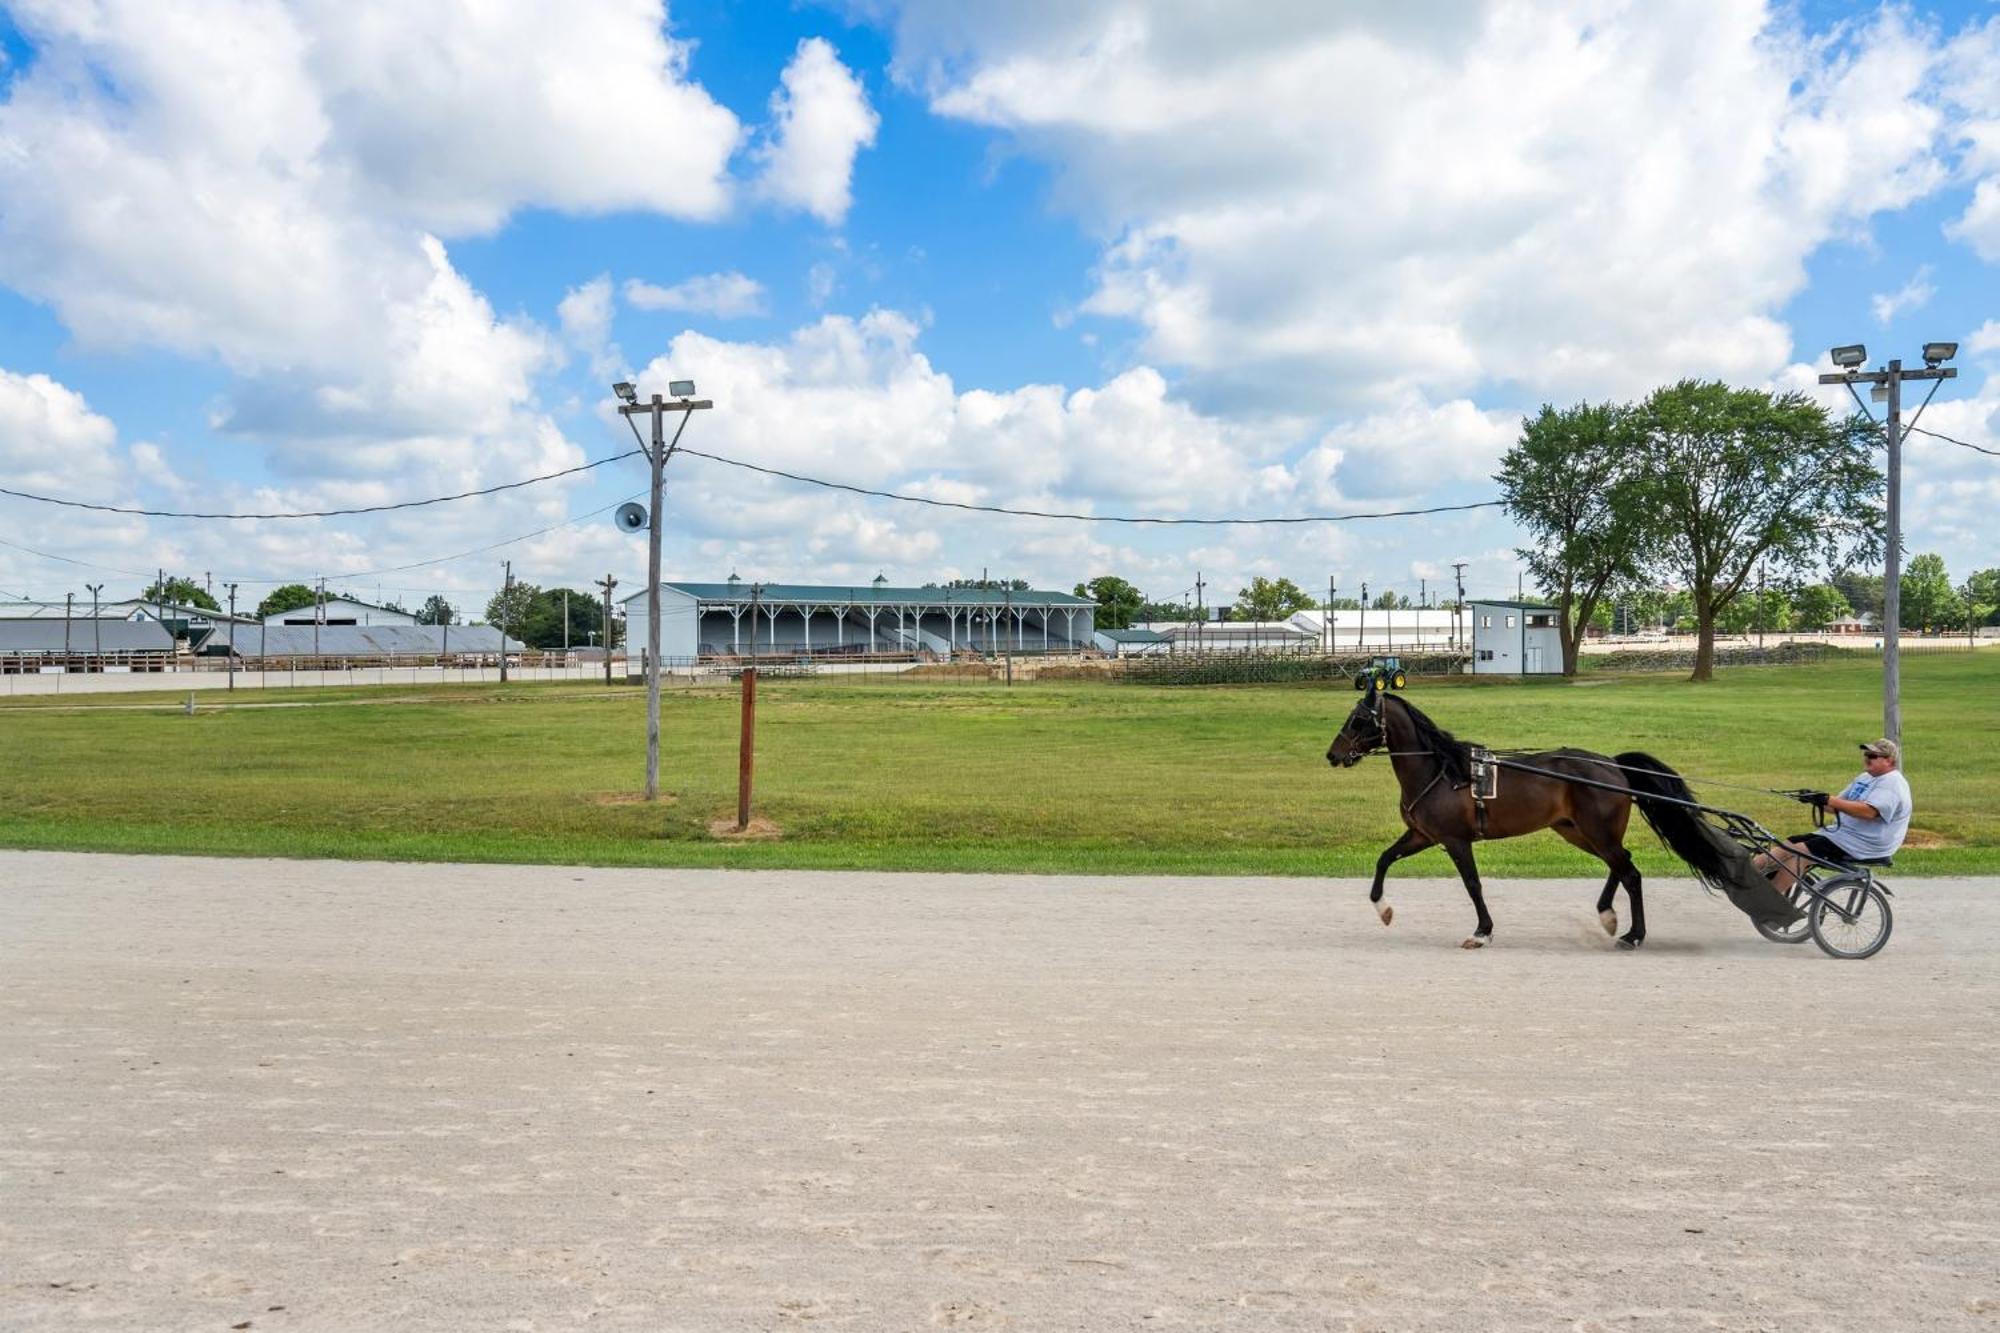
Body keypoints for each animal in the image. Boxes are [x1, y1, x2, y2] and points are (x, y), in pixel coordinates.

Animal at [1328, 684, 1720, 944]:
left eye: (1358, 719)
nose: (1333, 755)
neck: (1441, 771)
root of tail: (1612, 765)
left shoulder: (1455, 840)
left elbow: (1472, 884)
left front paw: (1482, 931)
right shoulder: (1422, 835)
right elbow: (1384, 859)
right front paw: (1383, 909)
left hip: (1596, 831)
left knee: (1631, 873)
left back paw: (1633, 935)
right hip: (1577, 831)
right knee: (1622, 864)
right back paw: (1607, 915)